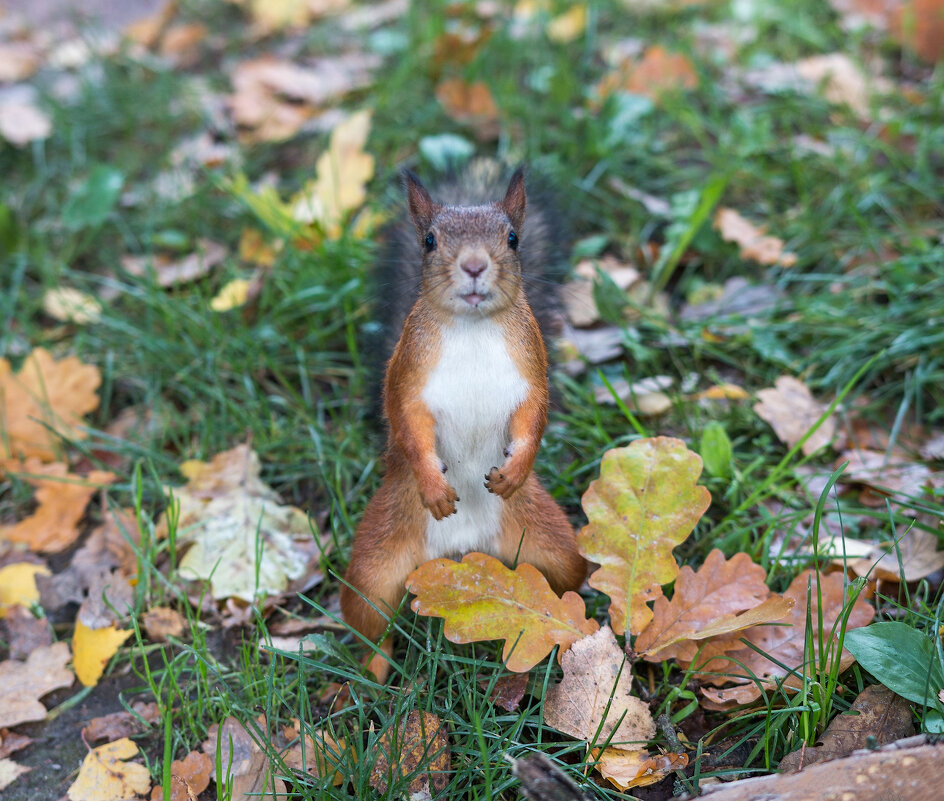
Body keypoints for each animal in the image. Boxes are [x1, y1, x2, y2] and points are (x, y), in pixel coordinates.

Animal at [342, 166, 588, 680]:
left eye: (513, 238)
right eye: (429, 241)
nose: (474, 266)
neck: (474, 330)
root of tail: (462, 552)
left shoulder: (531, 371)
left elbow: (533, 419)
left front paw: (515, 470)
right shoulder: (409, 379)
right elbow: (410, 429)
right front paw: (434, 487)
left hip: (551, 545)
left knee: (564, 581)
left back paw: (561, 626)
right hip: (375, 566)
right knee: (372, 627)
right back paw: (373, 676)